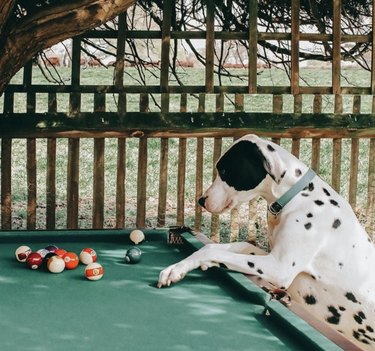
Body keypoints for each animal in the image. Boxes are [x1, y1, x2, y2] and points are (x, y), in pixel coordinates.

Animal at [159, 134, 375, 350]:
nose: (201, 200)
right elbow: (229, 246)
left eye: (225, 171)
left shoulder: (279, 268)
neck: (297, 197)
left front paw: (181, 268)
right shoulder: (269, 255)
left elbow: (211, 251)